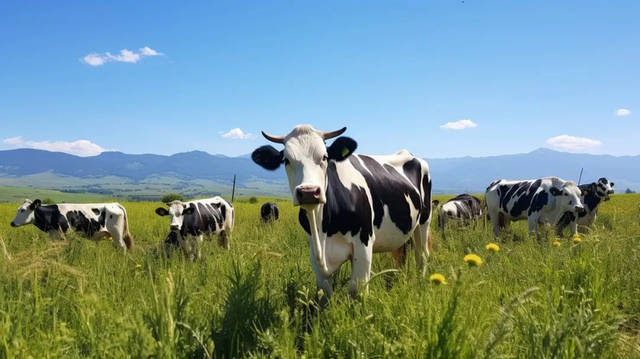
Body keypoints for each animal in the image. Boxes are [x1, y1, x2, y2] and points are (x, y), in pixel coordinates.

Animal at [252, 125, 432, 300]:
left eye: (324, 157)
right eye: (286, 160)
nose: (309, 192)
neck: (323, 228)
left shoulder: (364, 243)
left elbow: (356, 291)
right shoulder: (314, 250)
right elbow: (325, 293)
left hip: (424, 220)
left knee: (422, 254)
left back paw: (420, 281)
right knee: (403, 253)